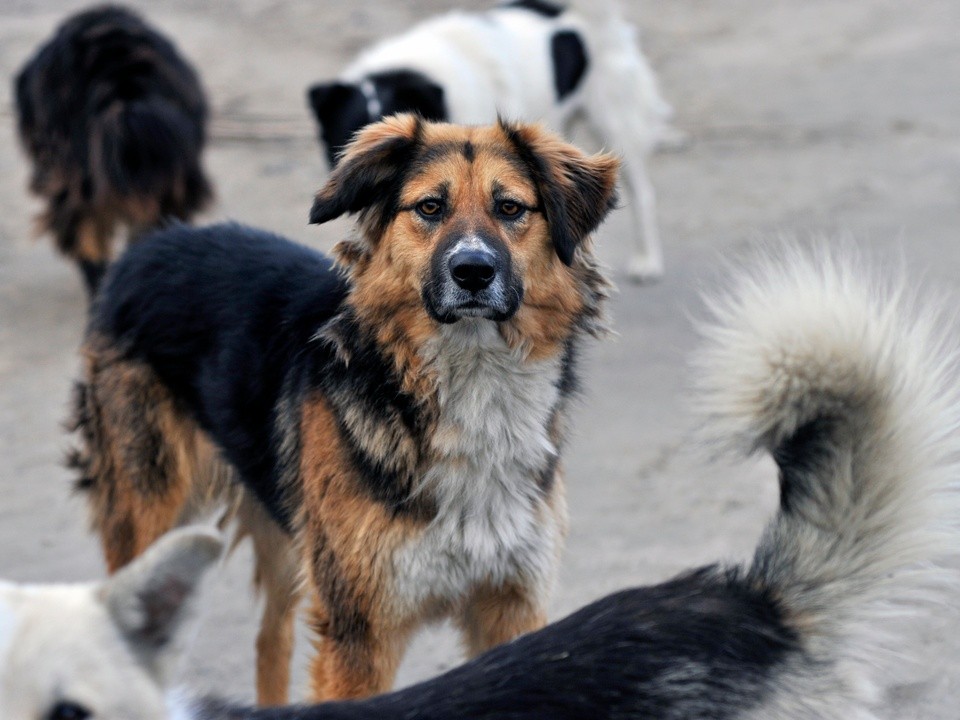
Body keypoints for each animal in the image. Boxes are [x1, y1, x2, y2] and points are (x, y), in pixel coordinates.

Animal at [71, 116, 620, 704]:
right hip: (150, 512)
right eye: (430, 207)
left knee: (271, 639)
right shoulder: (358, 631)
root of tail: (152, 244)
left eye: (511, 208)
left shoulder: (511, 606)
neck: (472, 381)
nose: (472, 271)